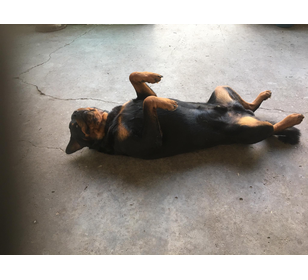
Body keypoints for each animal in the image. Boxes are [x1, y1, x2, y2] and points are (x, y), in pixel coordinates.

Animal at [66, 71, 304, 160]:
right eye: (74, 127)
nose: (77, 111)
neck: (111, 122)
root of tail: (243, 113)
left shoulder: (142, 97)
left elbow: (136, 79)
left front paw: (152, 77)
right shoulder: (150, 142)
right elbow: (151, 103)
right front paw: (168, 103)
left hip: (221, 89)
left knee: (251, 106)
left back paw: (263, 95)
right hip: (251, 130)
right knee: (271, 128)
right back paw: (292, 119)